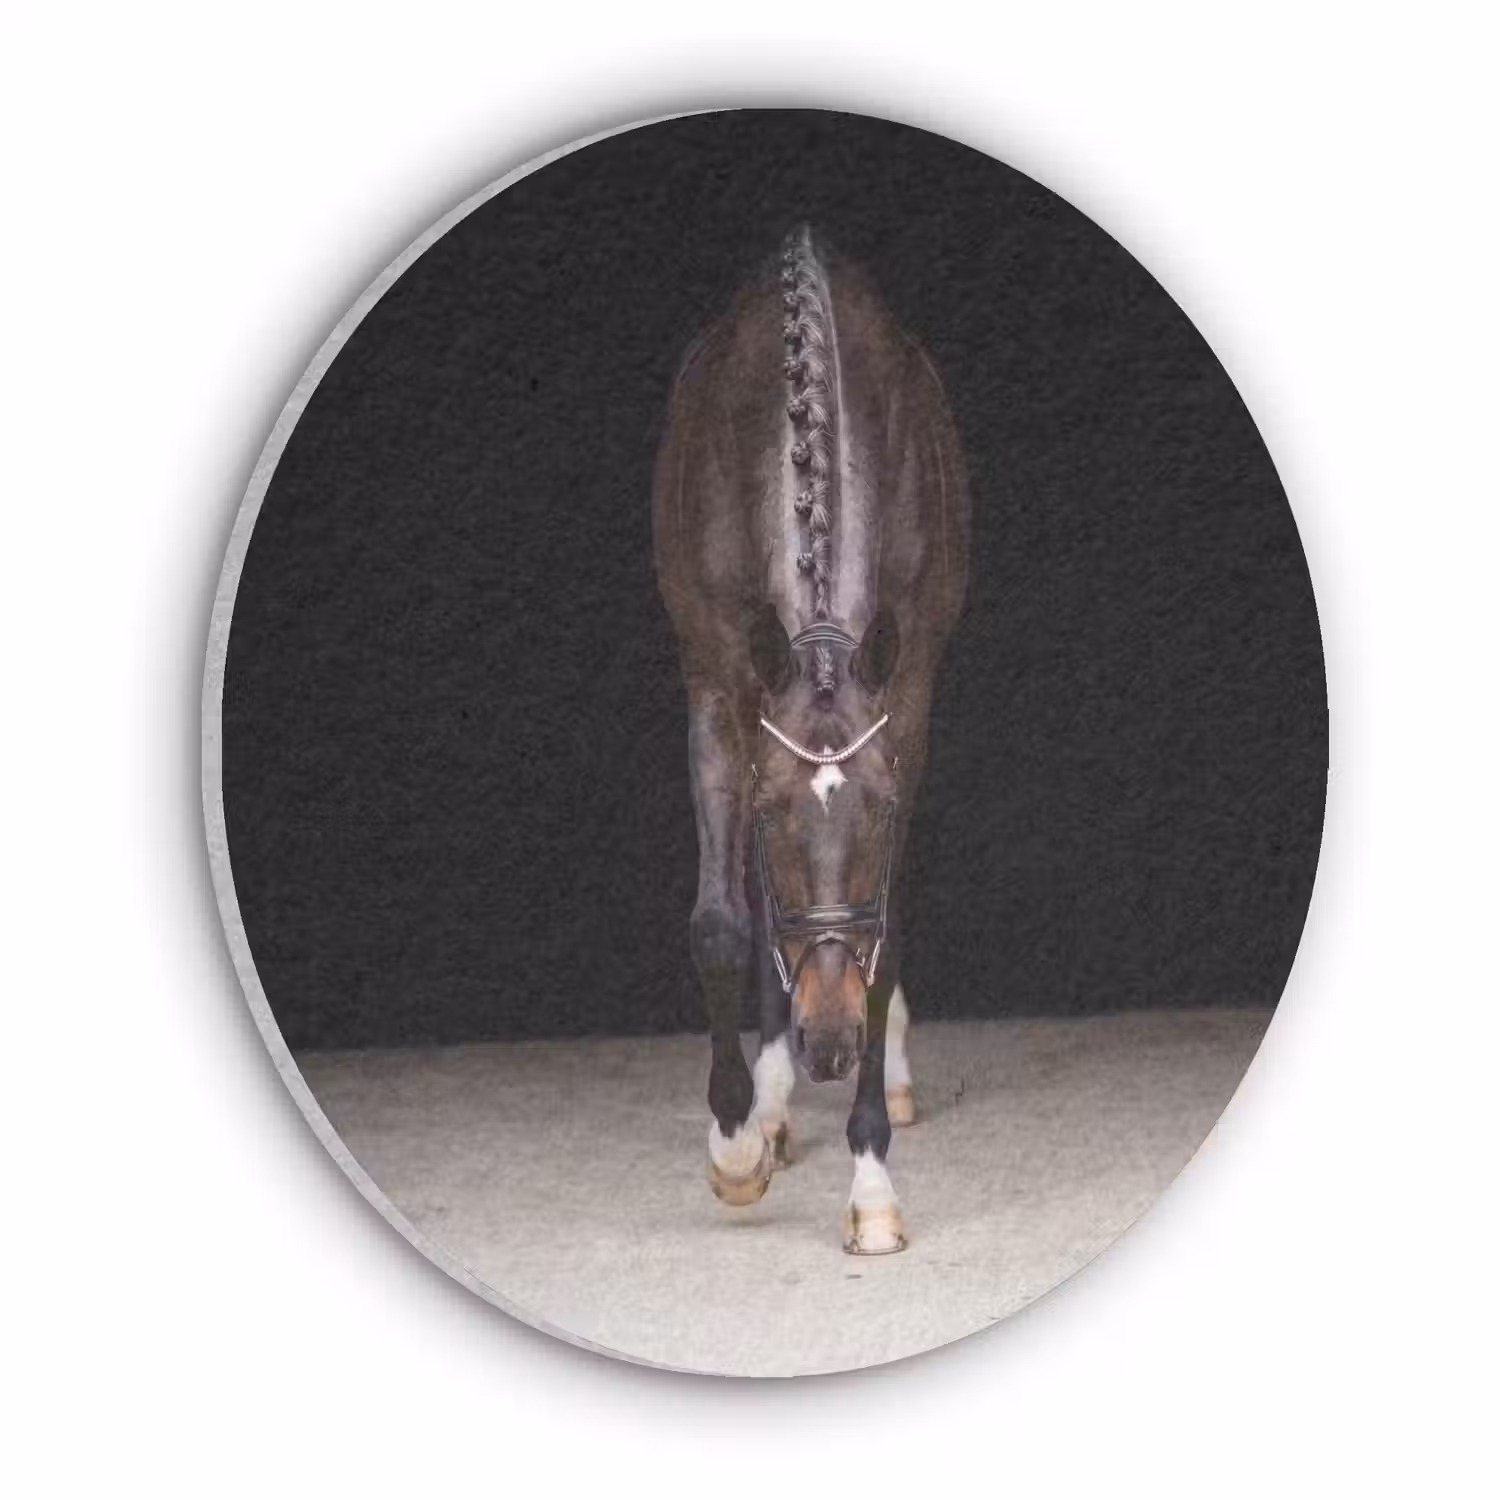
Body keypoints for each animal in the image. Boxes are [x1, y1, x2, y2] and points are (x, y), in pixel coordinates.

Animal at [653, 226, 971, 1253]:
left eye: (876, 811)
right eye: (773, 811)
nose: (829, 1045)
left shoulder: (908, 701)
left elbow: (885, 932)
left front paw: (871, 1183)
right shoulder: (719, 688)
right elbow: (722, 923)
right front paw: (737, 1143)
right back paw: (772, 1100)